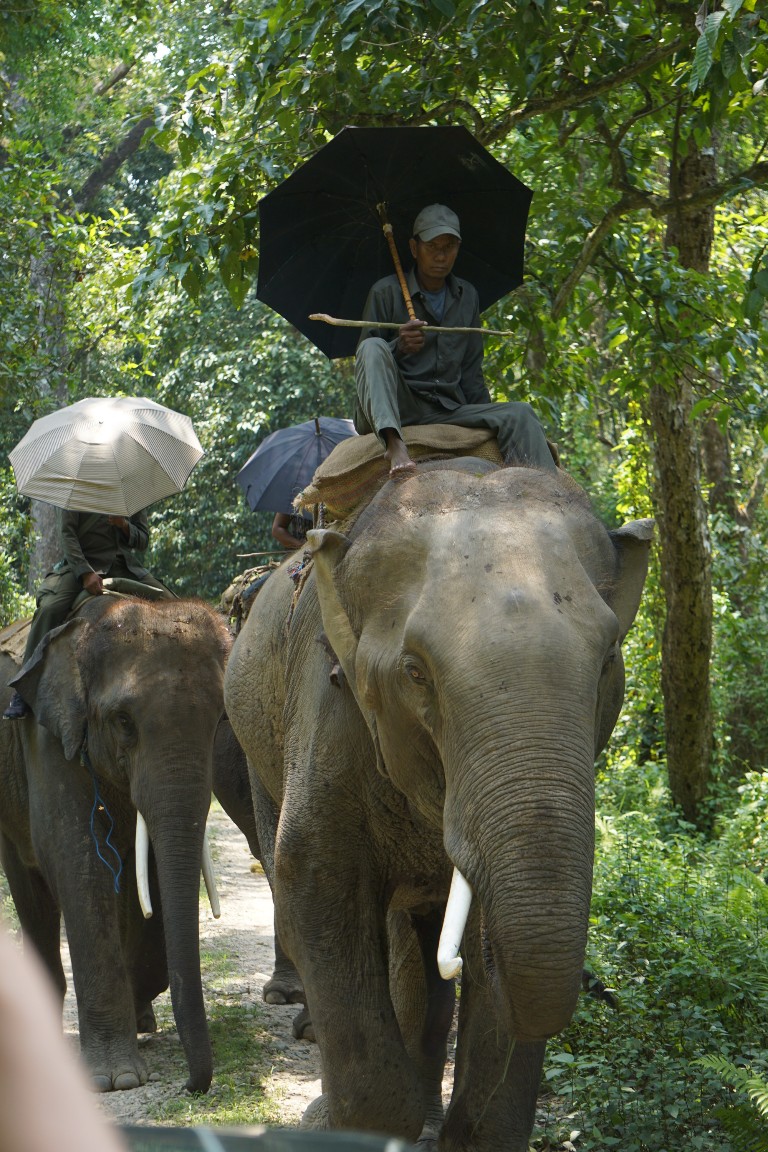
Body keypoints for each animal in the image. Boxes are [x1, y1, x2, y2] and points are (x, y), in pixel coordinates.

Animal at [1, 599, 232, 1092]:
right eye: (124, 722)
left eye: (220, 721)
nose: (192, 1086)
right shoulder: (50, 737)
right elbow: (77, 861)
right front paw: (117, 1080)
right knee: (30, 886)